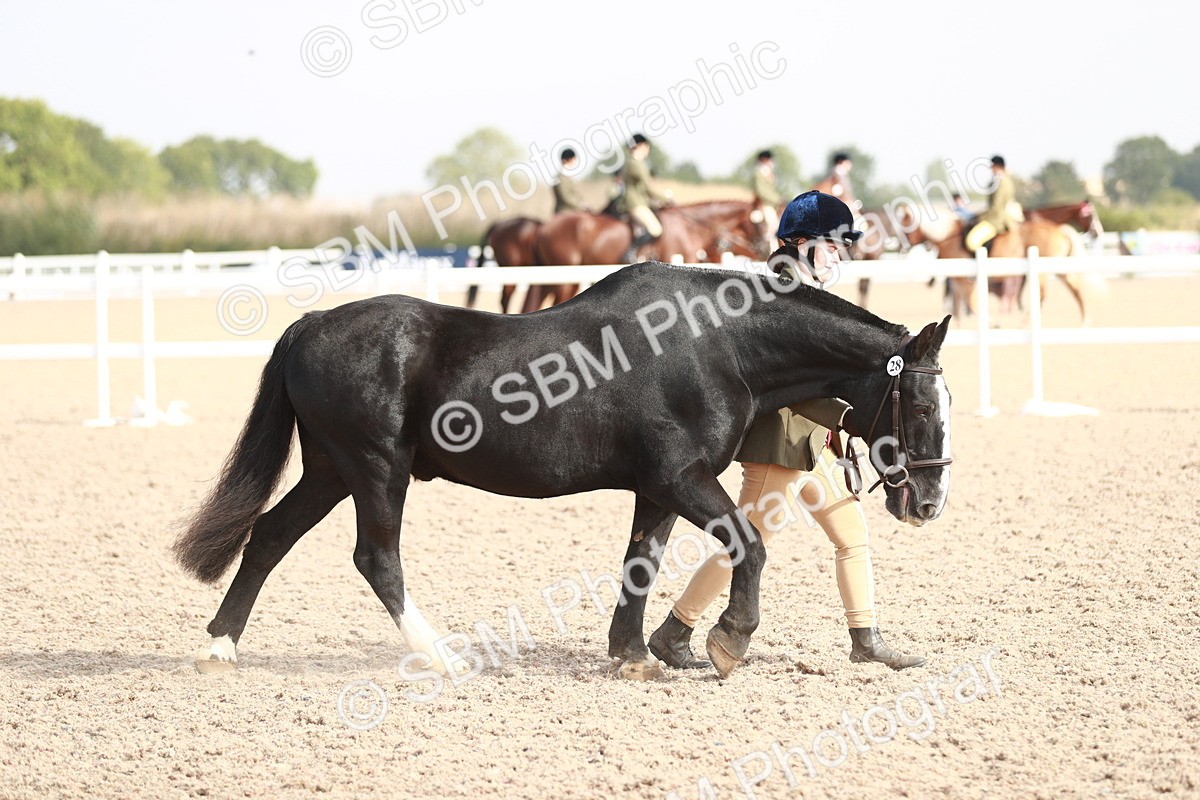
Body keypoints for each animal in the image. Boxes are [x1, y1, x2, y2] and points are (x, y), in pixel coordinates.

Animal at [173, 262, 953, 682]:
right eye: (918, 403)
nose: (929, 501)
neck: (716, 344)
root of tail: (311, 324)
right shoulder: (682, 478)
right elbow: (749, 545)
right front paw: (728, 642)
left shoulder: (657, 488)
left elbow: (642, 563)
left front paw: (633, 654)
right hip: (374, 469)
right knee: (377, 558)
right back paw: (445, 657)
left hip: (331, 470)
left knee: (270, 536)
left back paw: (220, 646)